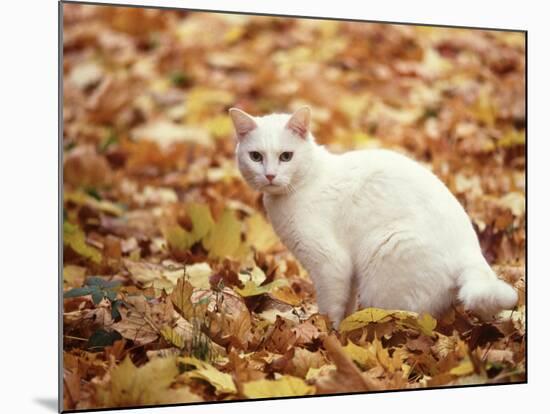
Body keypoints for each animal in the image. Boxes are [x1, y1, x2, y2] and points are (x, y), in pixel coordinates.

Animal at [227, 106, 516, 326]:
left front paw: (327, 336)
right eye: (256, 156)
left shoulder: (331, 265)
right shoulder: (349, 273)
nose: (270, 175)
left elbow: (330, 308)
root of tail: (472, 251)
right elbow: (346, 306)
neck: (306, 183)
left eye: (286, 156)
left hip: (384, 260)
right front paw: (343, 331)